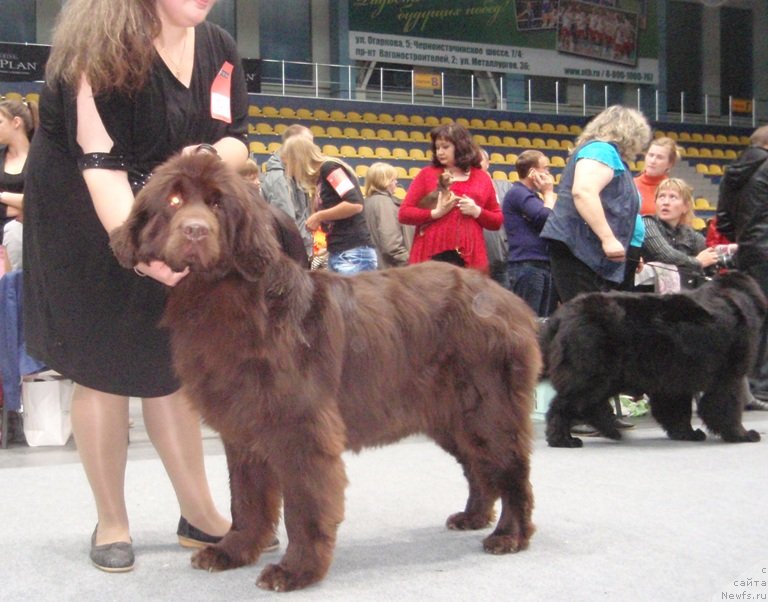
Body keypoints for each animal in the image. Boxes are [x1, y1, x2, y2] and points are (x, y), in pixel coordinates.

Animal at [109, 152, 540, 588]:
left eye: (217, 204)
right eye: (174, 201)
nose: (195, 231)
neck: (224, 295)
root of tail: (509, 301)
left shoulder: (301, 427)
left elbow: (304, 505)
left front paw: (295, 570)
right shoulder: (243, 427)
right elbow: (246, 498)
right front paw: (234, 551)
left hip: (488, 406)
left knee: (511, 468)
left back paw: (509, 534)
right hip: (449, 415)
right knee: (478, 466)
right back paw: (473, 516)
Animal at [544, 272, 764, 446]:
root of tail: (561, 316)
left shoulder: (673, 378)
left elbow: (676, 409)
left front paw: (687, 433)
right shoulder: (727, 376)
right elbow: (727, 406)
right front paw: (742, 435)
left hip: (608, 376)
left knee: (591, 405)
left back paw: (611, 431)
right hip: (593, 371)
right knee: (565, 405)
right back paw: (563, 439)